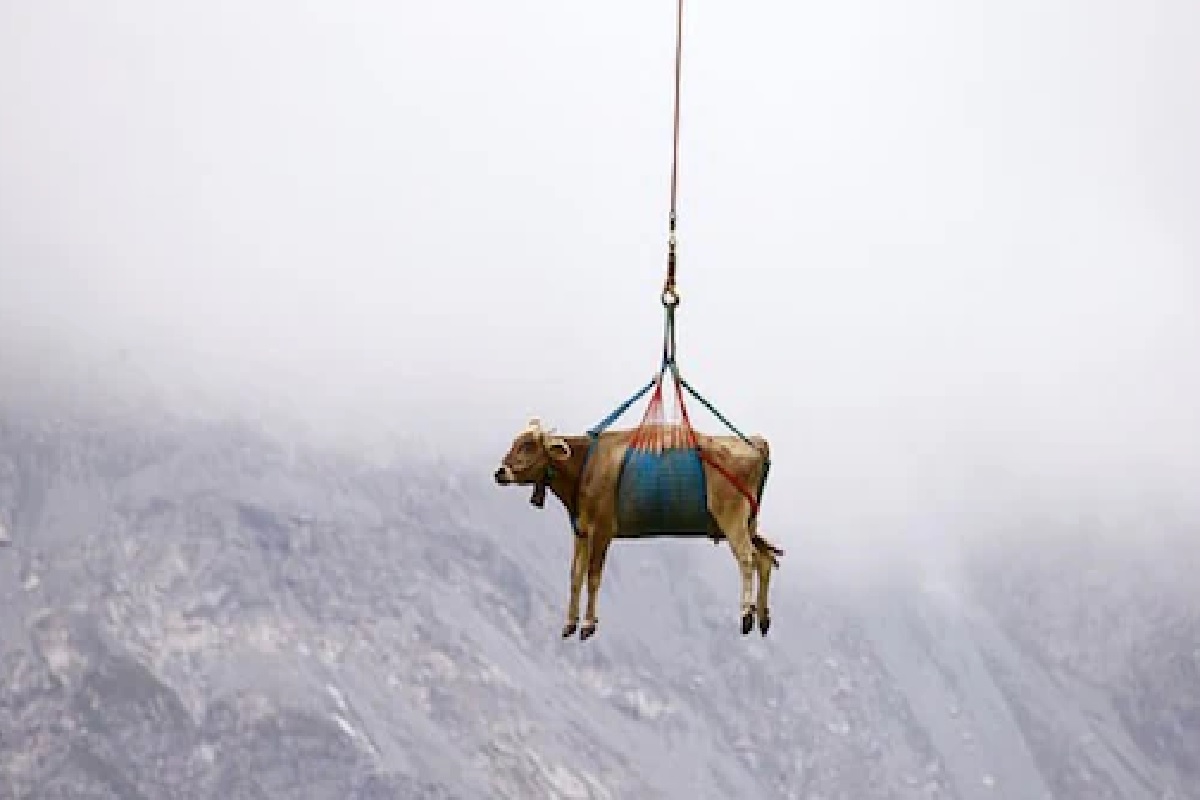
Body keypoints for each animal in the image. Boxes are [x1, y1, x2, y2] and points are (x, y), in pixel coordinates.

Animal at [493, 417, 783, 640]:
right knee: (765, 558)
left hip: (732, 517)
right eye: (515, 442)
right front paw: (569, 623)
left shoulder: (603, 529)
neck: (587, 465)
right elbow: (575, 576)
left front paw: (587, 624)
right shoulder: (581, 530)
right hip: (746, 524)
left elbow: (593, 577)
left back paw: (747, 613)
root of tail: (755, 443)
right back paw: (763, 617)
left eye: (529, 445)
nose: (499, 472)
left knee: (747, 558)